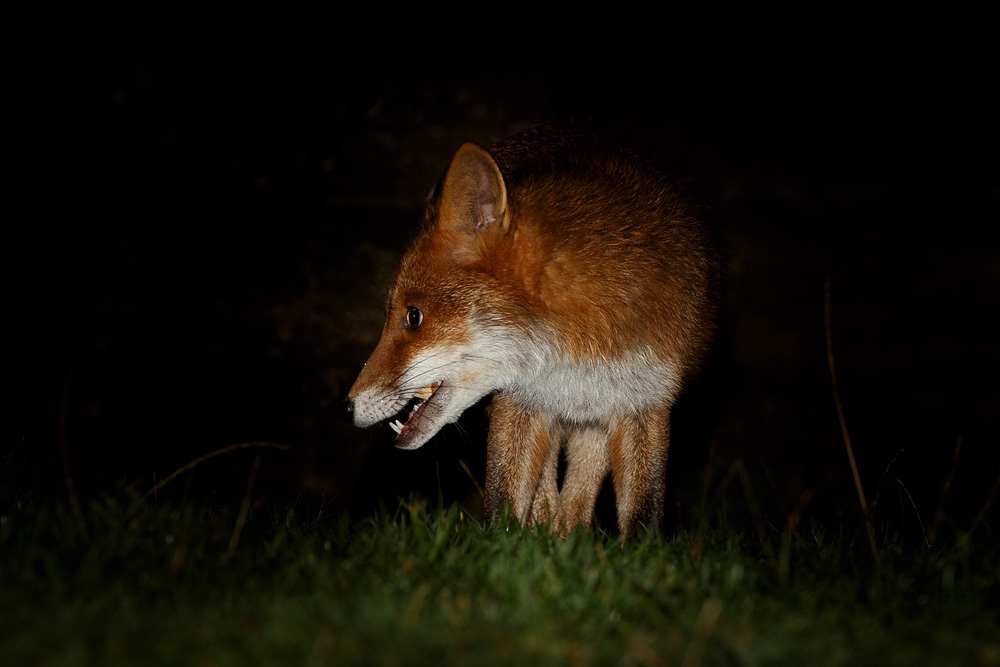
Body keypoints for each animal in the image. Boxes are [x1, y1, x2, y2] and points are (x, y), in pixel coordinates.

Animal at [343, 124, 720, 535]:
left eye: (413, 316)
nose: (347, 406)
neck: (578, 353)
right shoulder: (521, 400)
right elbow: (504, 500)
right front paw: (506, 546)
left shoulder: (646, 402)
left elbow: (643, 515)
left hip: (596, 424)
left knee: (577, 498)